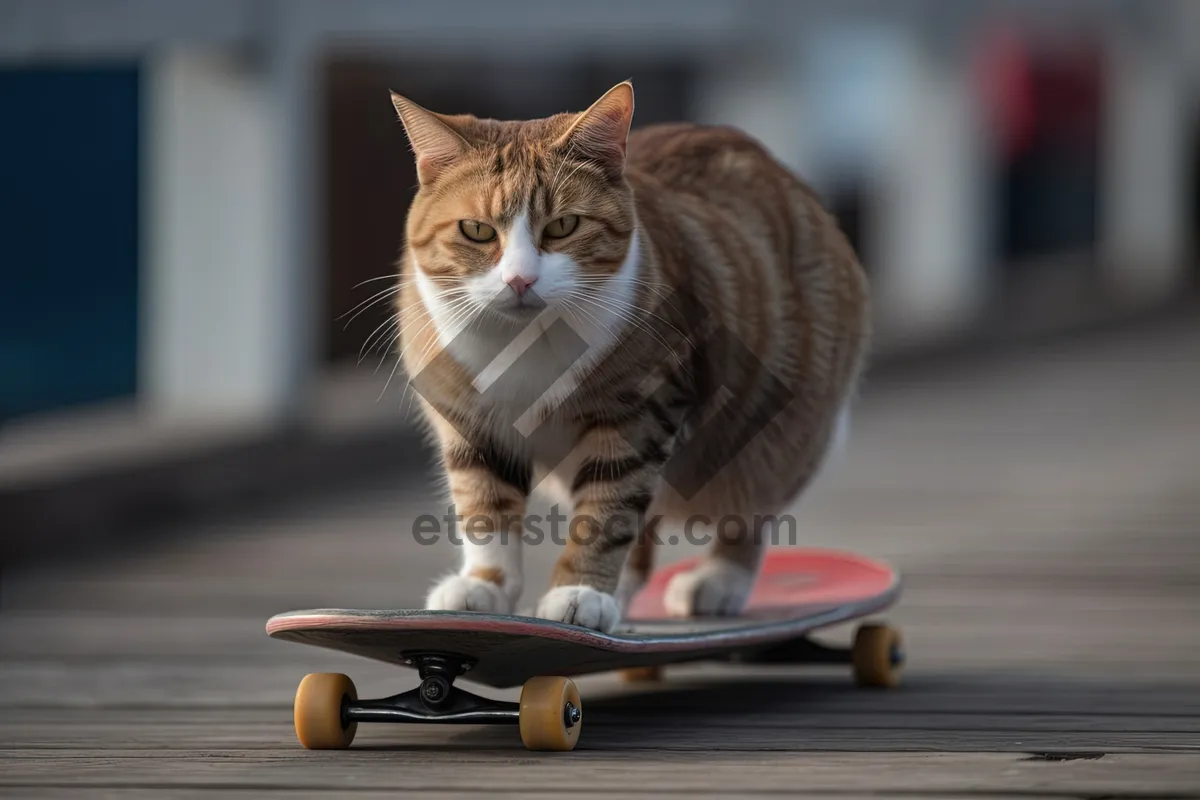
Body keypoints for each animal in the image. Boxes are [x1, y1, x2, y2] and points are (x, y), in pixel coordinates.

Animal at [388, 81, 868, 633]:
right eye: (478, 231)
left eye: (564, 226)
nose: (520, 280)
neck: (526, 343)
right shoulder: (470, 423)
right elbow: (485, 508)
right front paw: (486, 585)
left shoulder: (640, 414)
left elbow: (606, 512)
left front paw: (579, 592)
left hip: (773, 436)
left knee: (747, 510)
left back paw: (717, 580)